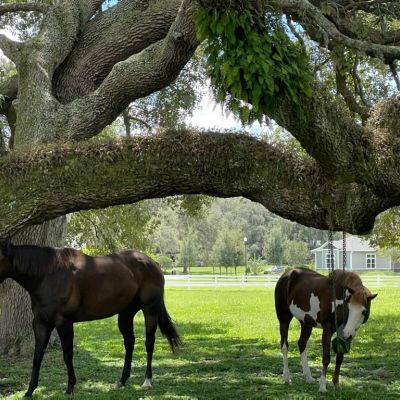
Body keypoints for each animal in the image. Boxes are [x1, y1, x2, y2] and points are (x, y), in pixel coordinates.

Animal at [0, 241, 181, 397]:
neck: (48, 275)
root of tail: (152, 263)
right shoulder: (41, 323)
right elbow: (37, 355)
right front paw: (30, 391)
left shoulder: (64, 323)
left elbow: (67, 355)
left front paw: (70, 387)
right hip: (126, 313)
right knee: (129, 342)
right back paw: (122, 381)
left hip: (150, 310)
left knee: (149, 343)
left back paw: (147, 381)